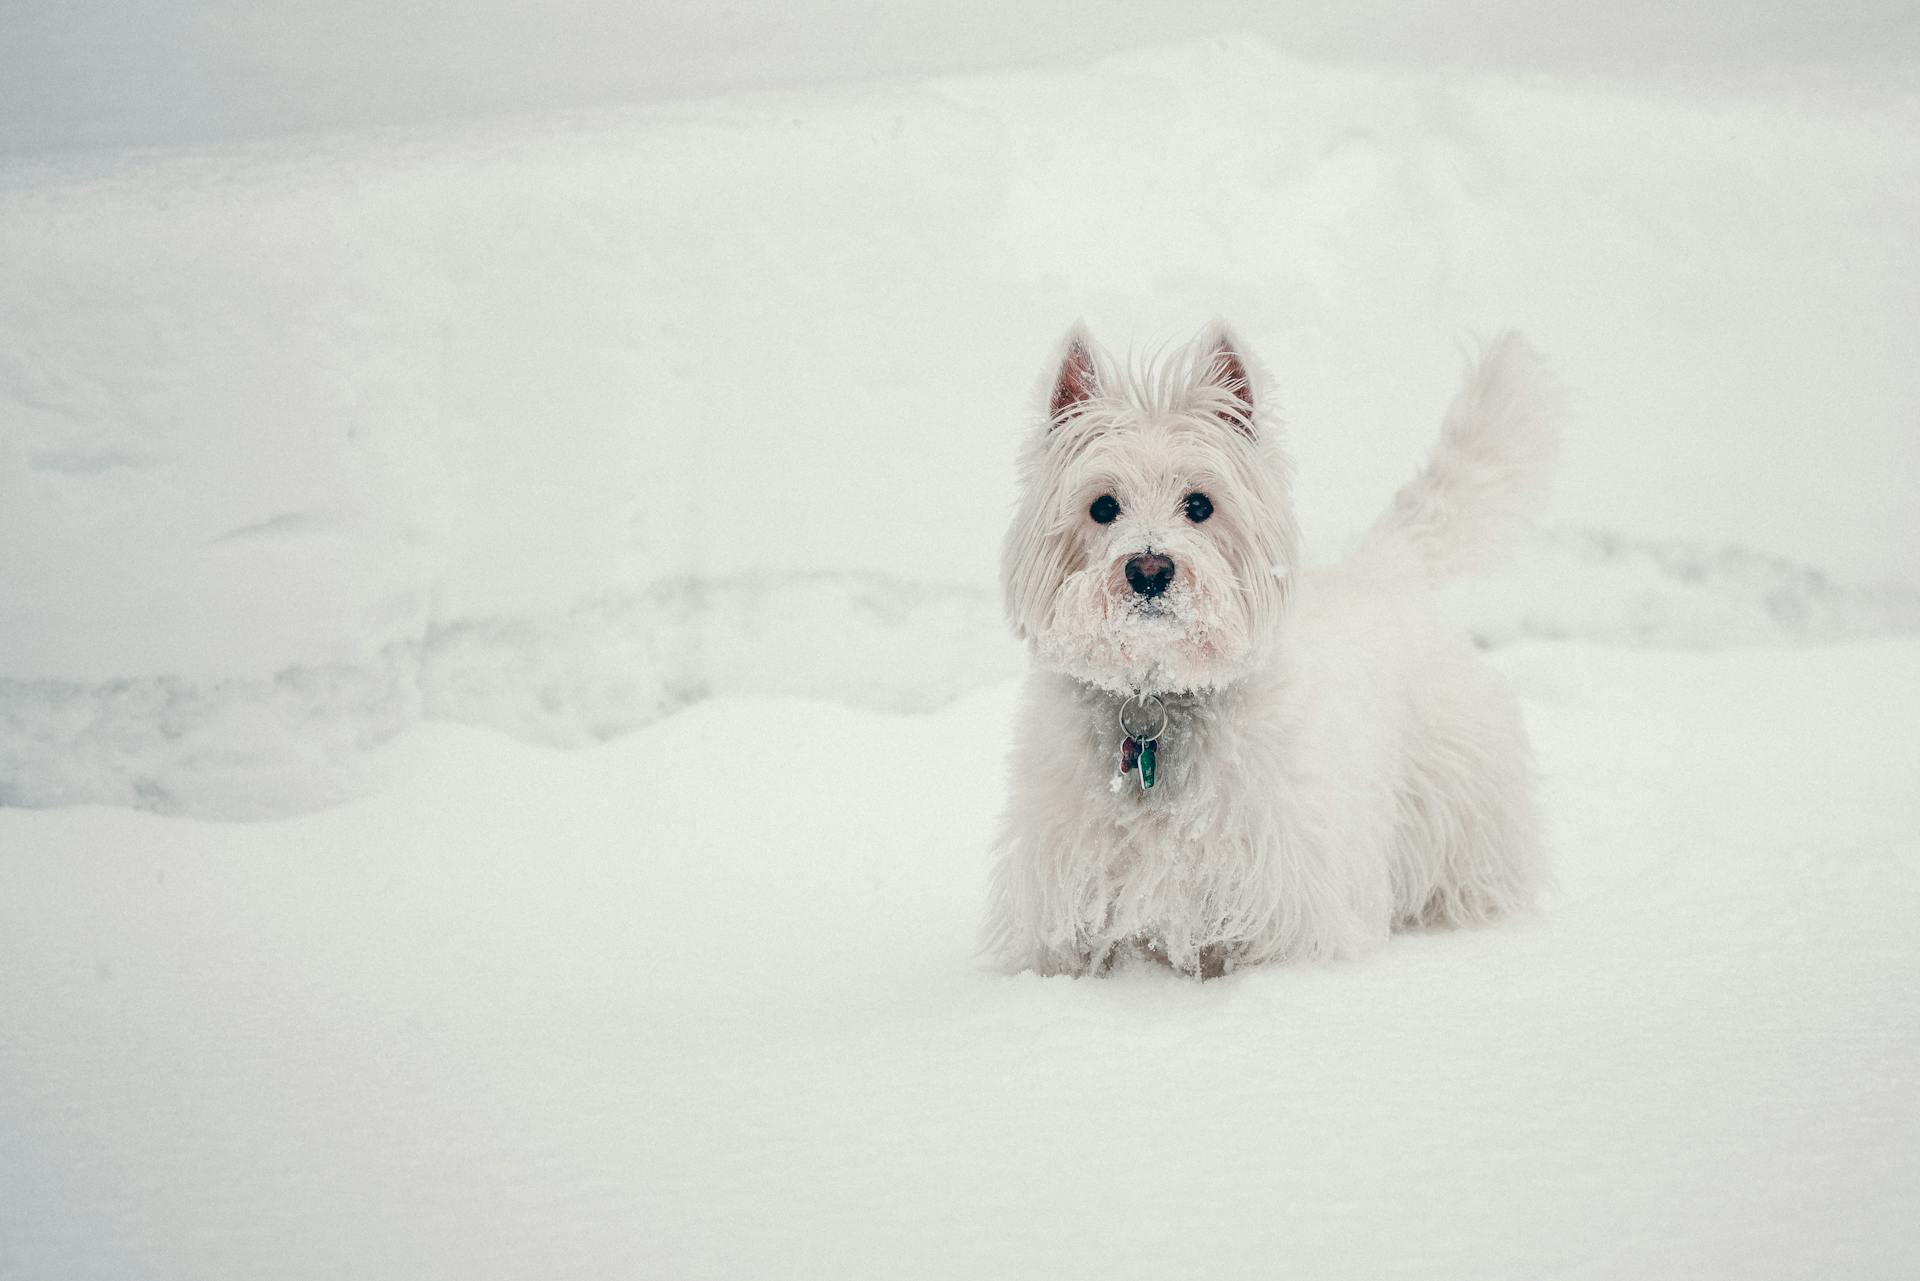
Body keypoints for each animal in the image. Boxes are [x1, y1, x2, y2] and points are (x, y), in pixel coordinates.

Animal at [983, 326, 1551, 975]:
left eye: (1199, 504)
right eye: (1103, 506)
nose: (1149, 570)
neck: (1157, 701)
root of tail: (1383, 567)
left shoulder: (1282, 897)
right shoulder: (1065, 893)